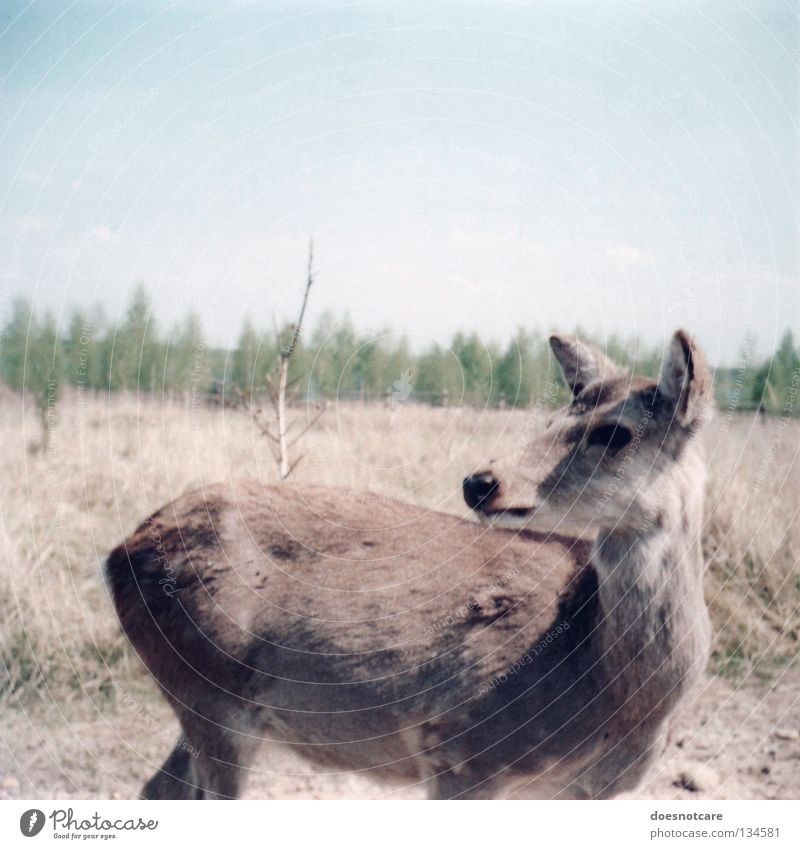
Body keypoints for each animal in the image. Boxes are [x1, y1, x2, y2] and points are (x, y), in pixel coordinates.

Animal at [106, 328, 712, 800]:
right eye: (551, 419)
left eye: (614, 433)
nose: (480, 481)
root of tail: (120, 550)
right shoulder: (461, 750)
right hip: (212, 696)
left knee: (157, 788)